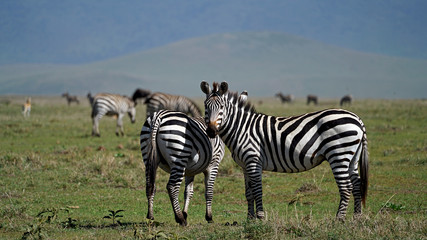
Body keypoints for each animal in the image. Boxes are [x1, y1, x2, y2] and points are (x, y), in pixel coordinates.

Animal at [202, 81, 370, 220]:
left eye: (221, 108)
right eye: (205, 107)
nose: (211, 131)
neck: (242, 129)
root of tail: (357, 119)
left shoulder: (253, 161)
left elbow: (257, 190)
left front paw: (260, 217)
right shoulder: (244, 165)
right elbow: (249, 193)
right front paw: (249, 219)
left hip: (338, 154)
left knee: (346, 187)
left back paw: (339, 219)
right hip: (352, 156)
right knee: (356, 185)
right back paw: (357, 217)